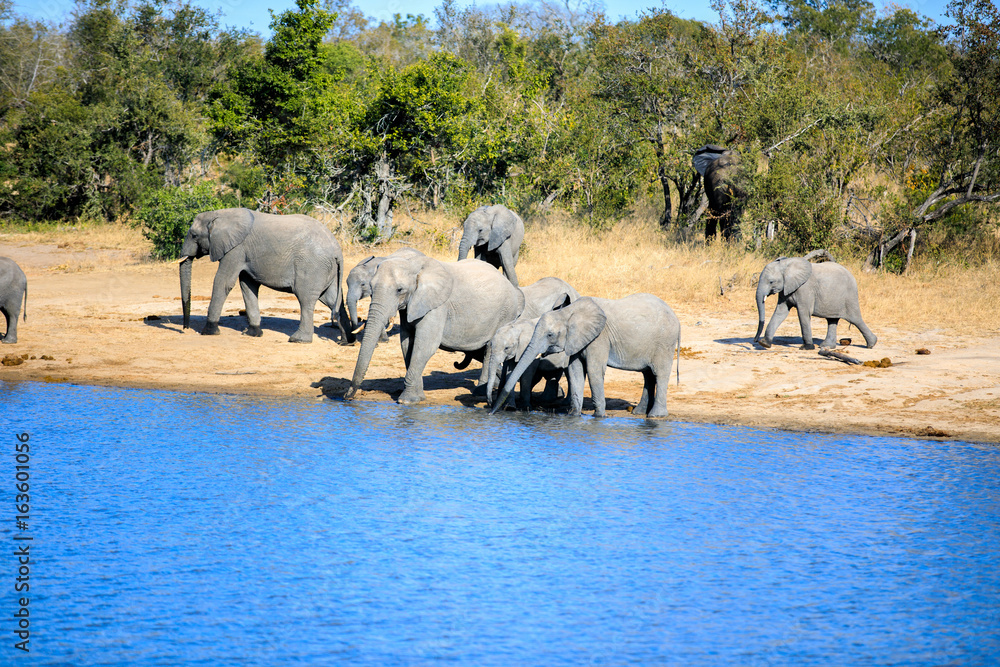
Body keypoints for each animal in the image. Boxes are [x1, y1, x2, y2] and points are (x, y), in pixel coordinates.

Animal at [179, 208, 352, 344]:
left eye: (194, 235)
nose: (185, 328)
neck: (220, 214)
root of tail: (337, 250)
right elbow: (247, 286)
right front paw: (253, 333)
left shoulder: (236, 249)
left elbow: (223, 282)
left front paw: (208, 331)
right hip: (327, 269)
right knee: (333, 299)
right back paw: (346, 342)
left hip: (311, 266)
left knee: (305, 299)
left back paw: (298, 340)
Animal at [344, 255, 524, 405]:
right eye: (370, 287)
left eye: (400, 290)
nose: (347, 396)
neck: (414, 265)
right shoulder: (410, 306)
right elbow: (407, 343)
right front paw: (418, 397)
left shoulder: (437, 306)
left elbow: (425, 345)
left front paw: (406, 401)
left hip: (506, 313)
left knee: (489, 350)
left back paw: (478, 393)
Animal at [492, 294, 681, 418]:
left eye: (550, 335)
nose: (491, 411)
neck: (569, 312)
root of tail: (677, 319)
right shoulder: (576, 339)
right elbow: (575, 370)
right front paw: (574, 415)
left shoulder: (599, 338)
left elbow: (594, 370)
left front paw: (599, 417)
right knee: (648, 375)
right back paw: (639, 413)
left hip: (665, 342)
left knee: (659, 374)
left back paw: (656, 416)